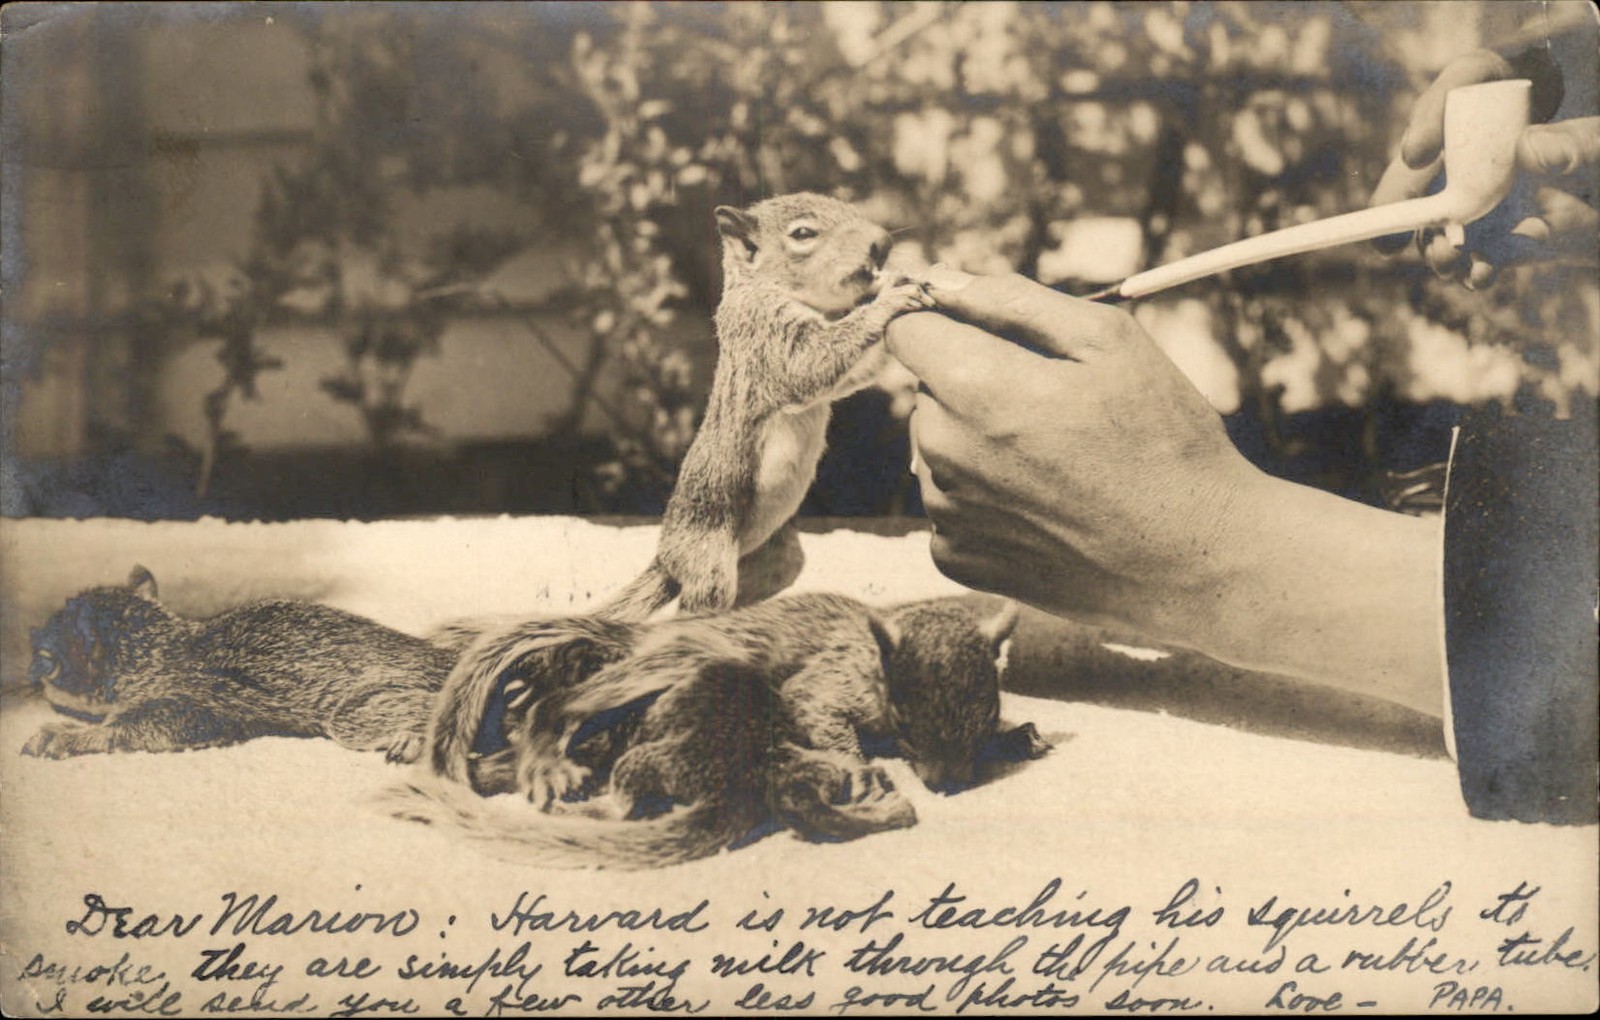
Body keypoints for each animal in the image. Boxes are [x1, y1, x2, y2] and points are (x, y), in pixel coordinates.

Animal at [20, 566, 454, 762]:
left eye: (46, 659)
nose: (29, 683)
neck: (161, 653)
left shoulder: (199, 706)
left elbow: (128, 728)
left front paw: (63, 737)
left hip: (359, 711)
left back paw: (411, 739)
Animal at [384, 594, 1051, 869]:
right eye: (907, 723)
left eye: (984, 713)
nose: (948, 786)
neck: (876, 653)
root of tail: (643, 636)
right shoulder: (827, 682)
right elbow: (823, 719)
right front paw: (861, 770)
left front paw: (1017, 736)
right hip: (678, 662)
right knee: (559, 704)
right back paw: (546, 751)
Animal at [598, 192, 932, 619]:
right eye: (803, 233)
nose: (883, 244)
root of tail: (666, 561)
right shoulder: (765, 333)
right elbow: (810, 363)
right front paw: (888, 299)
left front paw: (892, 281)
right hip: (709, 557)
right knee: (695, 606)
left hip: (776, 558)